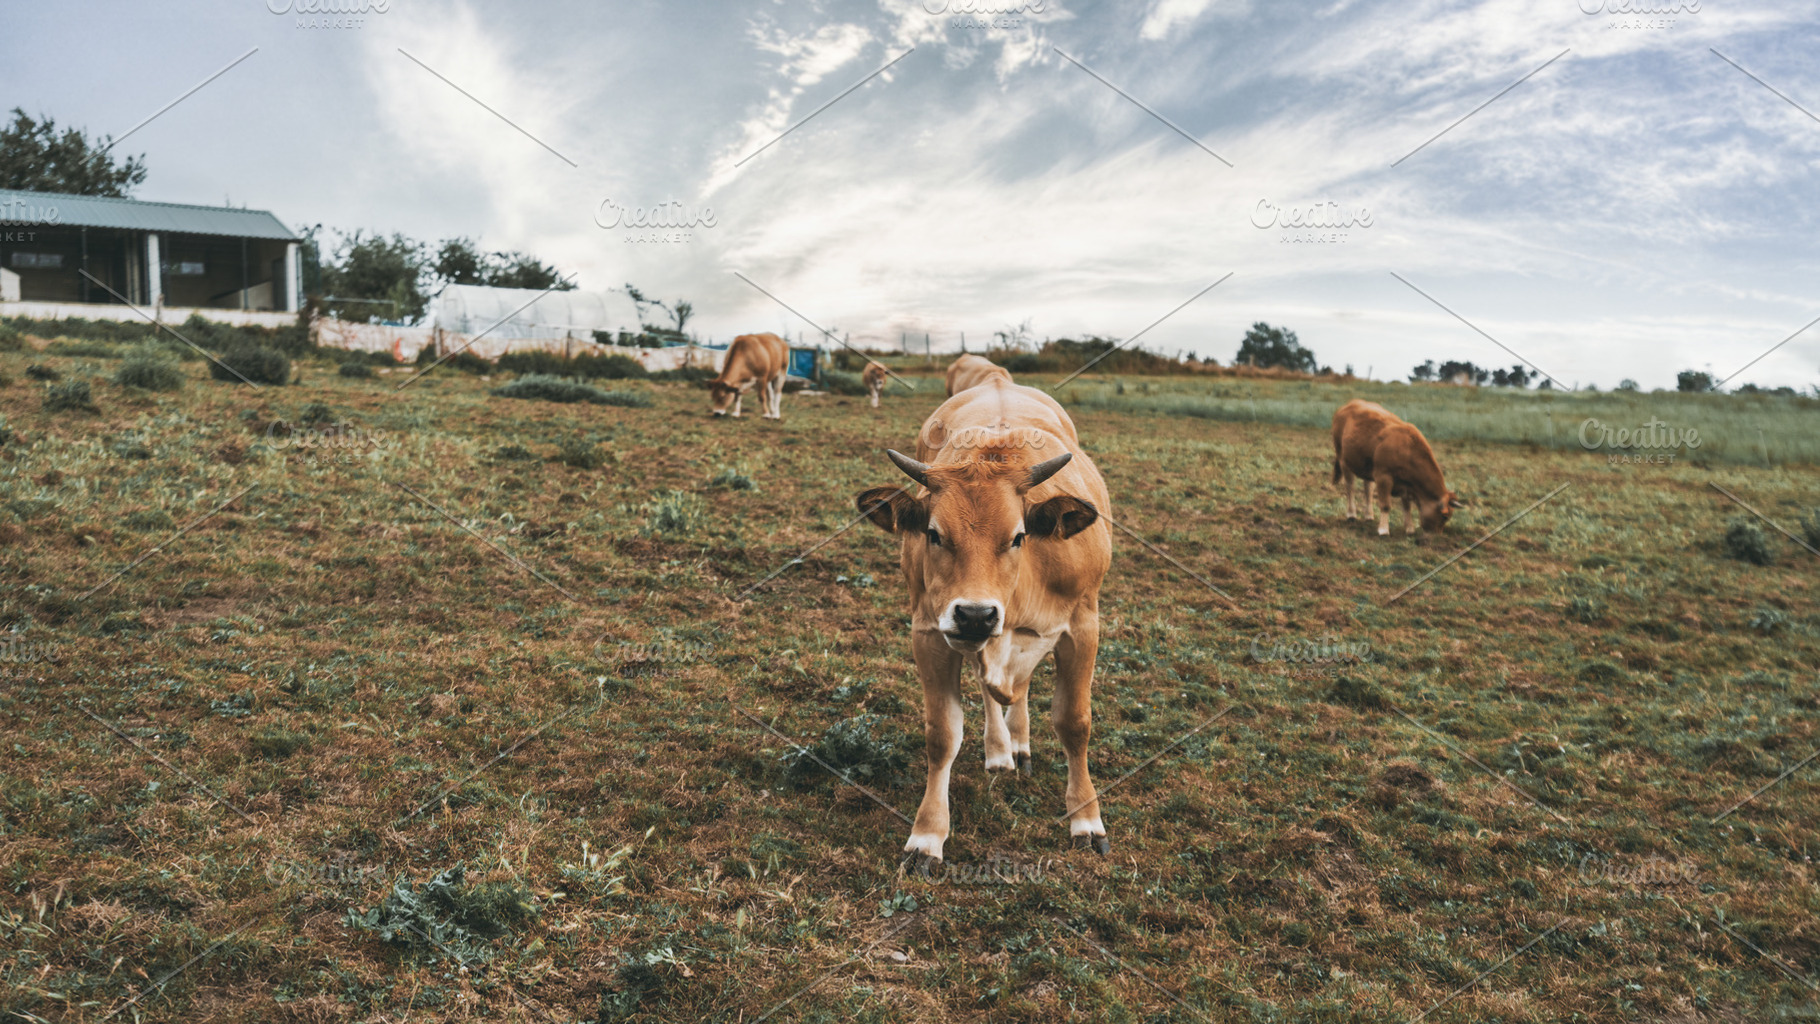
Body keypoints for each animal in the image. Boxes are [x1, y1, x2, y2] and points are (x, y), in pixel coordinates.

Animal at [855, 377, 1112, 874]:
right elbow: (942, 734)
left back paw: (1019, 744)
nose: (976, 613)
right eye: (933, 534)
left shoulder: (1083, 628)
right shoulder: (932, 634)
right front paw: (927, 836)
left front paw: (1086, 820)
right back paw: (1000, 750)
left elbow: (1074, 722)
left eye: (1018, 536)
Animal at [1331, 399, 1466, 536]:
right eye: (1445, 516)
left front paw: (1410, 528)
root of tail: (1351, 403)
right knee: (1350, 487)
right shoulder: (1383, 477)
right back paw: (1351, 514)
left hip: (1366, 468)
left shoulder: (1405, 485)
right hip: (1343, 460)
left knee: (1368, 489)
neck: (1408, 450)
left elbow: (1407, 506)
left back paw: (1369, 516)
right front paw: (1384, 530)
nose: (1437, 535)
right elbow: (1386, 505)